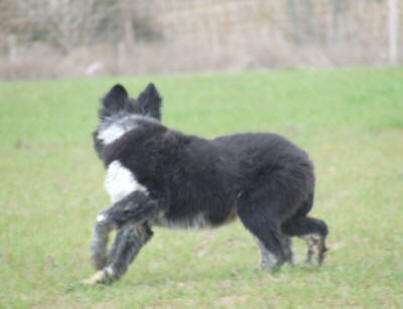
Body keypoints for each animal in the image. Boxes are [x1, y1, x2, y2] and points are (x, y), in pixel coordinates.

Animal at [84, 83, 328, 282]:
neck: (127, 131)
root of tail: (304, 159)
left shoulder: (149, 198)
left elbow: (102, 218)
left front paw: (97, 255)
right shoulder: (138, 223)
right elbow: (120, 254)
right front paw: (104, 275)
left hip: (254, 211)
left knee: (278, 252)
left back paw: (257, 275)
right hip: (284, 217)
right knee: (316, 230)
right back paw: (311, 262)